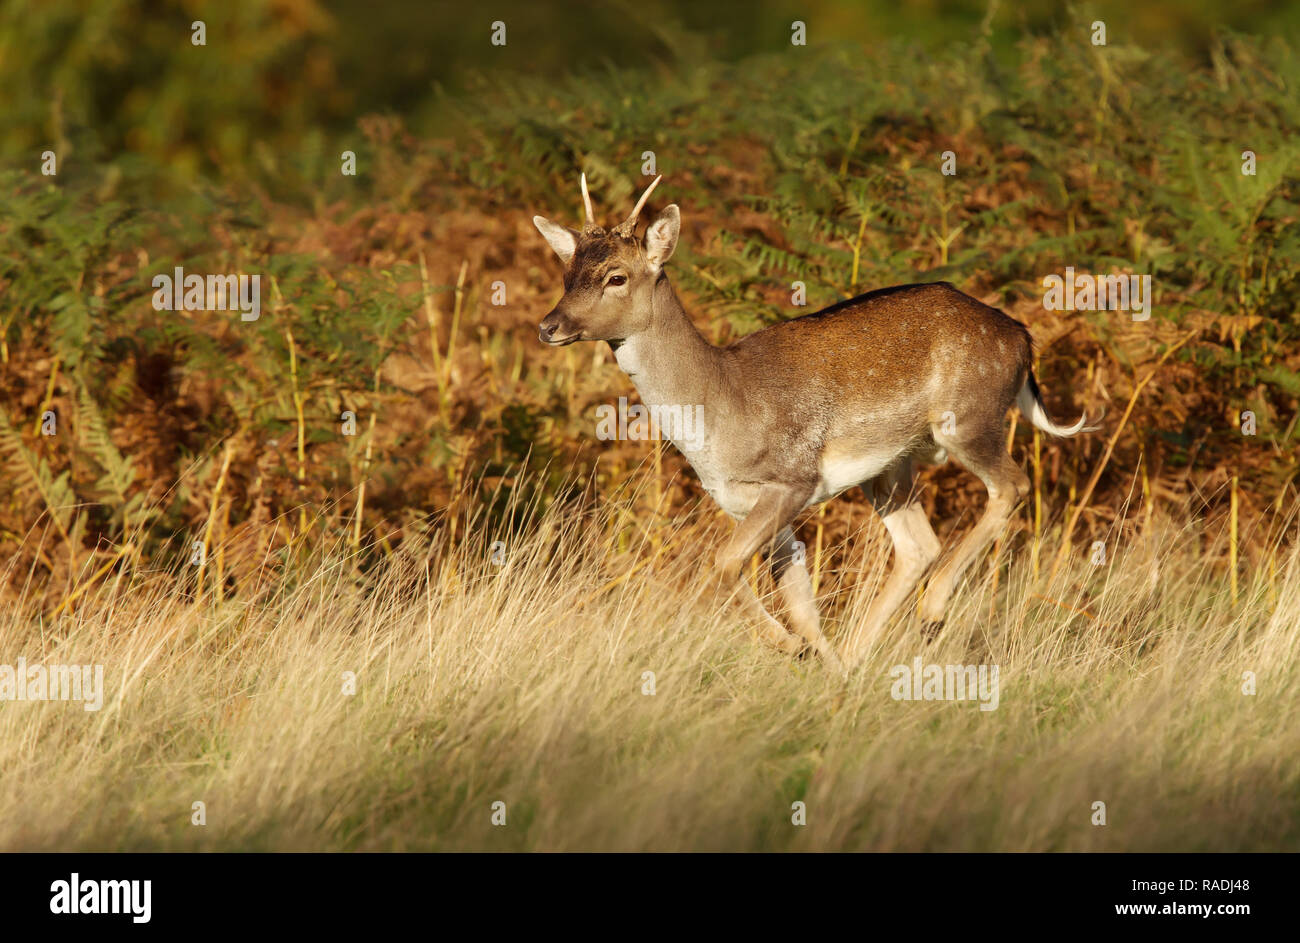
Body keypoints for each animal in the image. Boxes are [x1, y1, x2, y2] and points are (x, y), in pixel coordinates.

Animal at [533, 172, 1092, 665]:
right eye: (566, 275)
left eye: (617, 276)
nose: (548, 326)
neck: (720, 410)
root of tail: (1023, 338)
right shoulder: (750, 503)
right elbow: (801, 604)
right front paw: (811, 657)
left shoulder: (791, 476)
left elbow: (723, 563)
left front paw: (788, 647)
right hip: (891, 466)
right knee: (919, 545)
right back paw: (855, 657)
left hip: (970, 418)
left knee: (1011, 486)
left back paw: (931, 611)